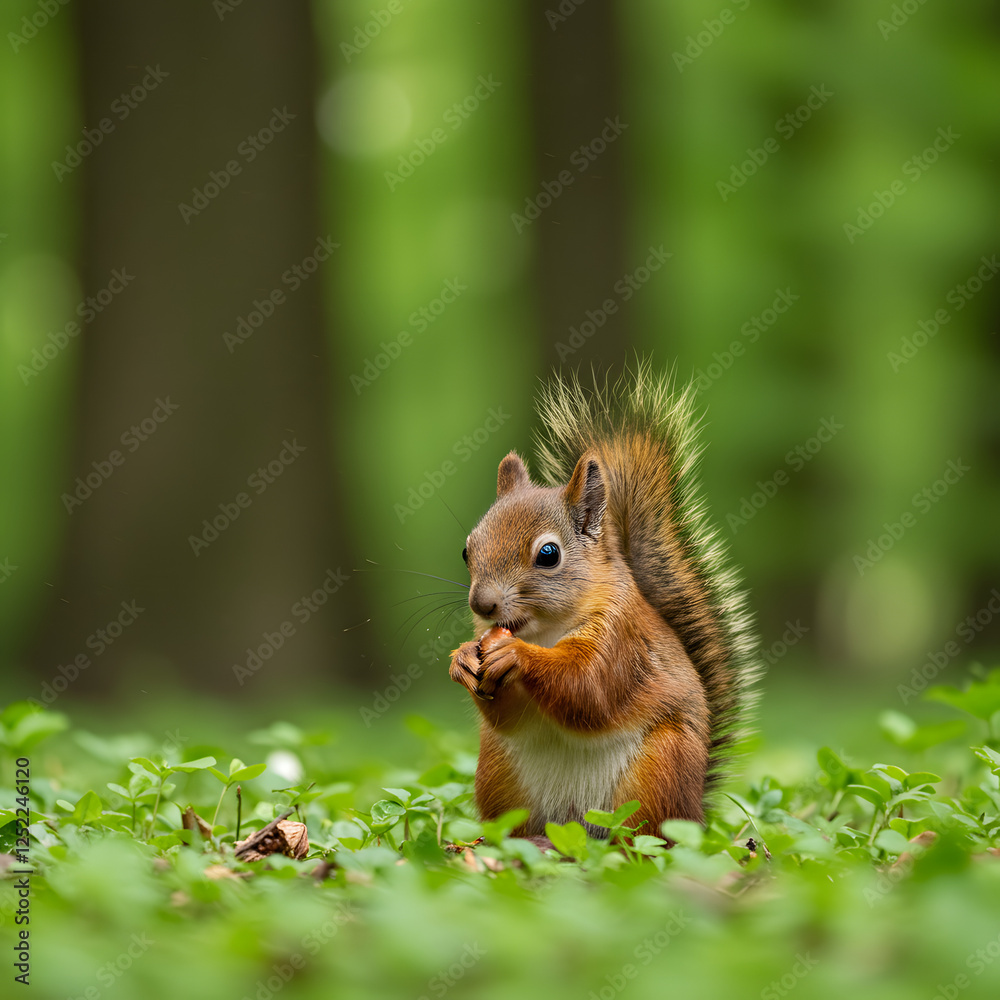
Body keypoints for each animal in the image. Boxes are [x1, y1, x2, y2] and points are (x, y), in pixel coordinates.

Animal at [448, 365, 759, 840]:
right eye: (467, 550)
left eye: (548, 554)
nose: (482, 605)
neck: (544, 630)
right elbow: (508, 715)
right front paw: (463, 658)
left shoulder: (621, 641)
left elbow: (588, 689)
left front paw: (517, 655)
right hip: (500, 776)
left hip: (659, 770)